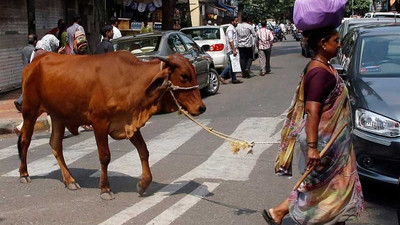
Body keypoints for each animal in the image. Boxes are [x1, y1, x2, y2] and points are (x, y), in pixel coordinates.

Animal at [17, 51, 205, 199]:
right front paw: (105, 189)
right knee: (25, 140)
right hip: (30, 111)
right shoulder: (99, 123)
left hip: (58, 116)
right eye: (184, 76)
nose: (201, 107)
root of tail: (35, 62)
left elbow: (144, 151)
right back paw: (24, 174)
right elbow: (105, 156)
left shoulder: (129, 123)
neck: (130, 80)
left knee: (55, 144)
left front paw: (143, 184)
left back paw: (70, 180)